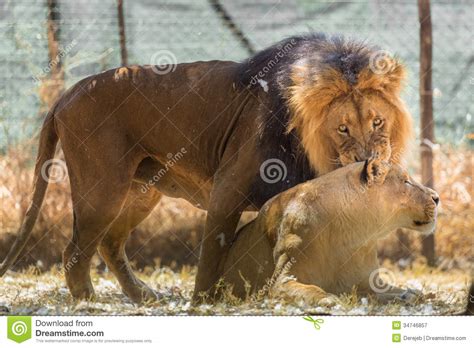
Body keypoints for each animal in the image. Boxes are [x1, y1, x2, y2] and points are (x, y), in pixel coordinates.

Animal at [0, 34, 412, 304]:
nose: (368, 161)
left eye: (377, 122)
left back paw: (143, 295)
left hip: (141, 191)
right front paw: (205, 301)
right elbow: (213, 252)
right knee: (74, 250)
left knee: (109, 242)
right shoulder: (227, 189)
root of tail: (64, 95)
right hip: (103, 188)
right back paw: (88, 300)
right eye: (342, 128)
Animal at [222, 159, 440, 304]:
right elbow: (312, 289)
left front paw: (413, 294)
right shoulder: (281, 281)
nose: (437, 198)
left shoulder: (368, 283)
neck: (353, 233)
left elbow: (396, 291)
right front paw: (330, 299)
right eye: (406, 181)